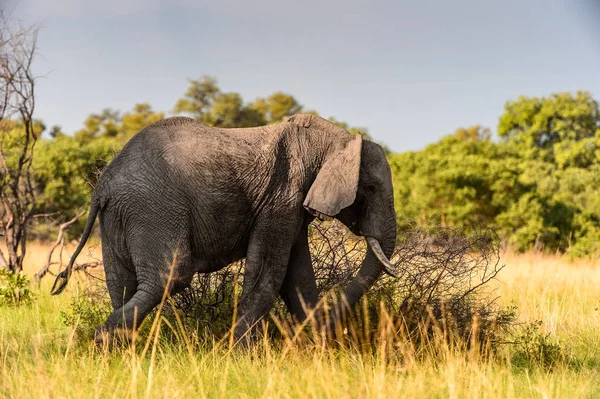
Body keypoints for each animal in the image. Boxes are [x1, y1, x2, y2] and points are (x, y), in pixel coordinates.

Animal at [51, 114, 398, 342]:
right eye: (369, 188)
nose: (335, 332)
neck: (337, 140)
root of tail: (103, 186)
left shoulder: (292, 206)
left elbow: (298, 280)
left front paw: (318, 347)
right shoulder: (281, 197)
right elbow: (268, 277)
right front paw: (240, 352)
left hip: (117, 218)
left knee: (122, 284)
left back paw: (120, 351)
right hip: (153, 209)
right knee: (169, 278)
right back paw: (104, 343)